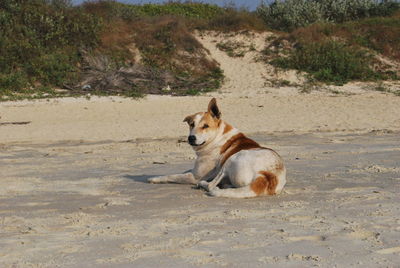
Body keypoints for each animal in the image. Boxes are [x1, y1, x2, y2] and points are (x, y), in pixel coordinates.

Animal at [148, 97, 286, 198]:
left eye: (205, 126)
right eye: (191, 124)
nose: (191, 138)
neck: (218, 137)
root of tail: (267, 175)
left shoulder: (195, 176)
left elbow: (172, 175)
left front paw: (154, 178)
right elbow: (183, 171)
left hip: (231, 159)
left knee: (211, 186)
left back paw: (205, 184)